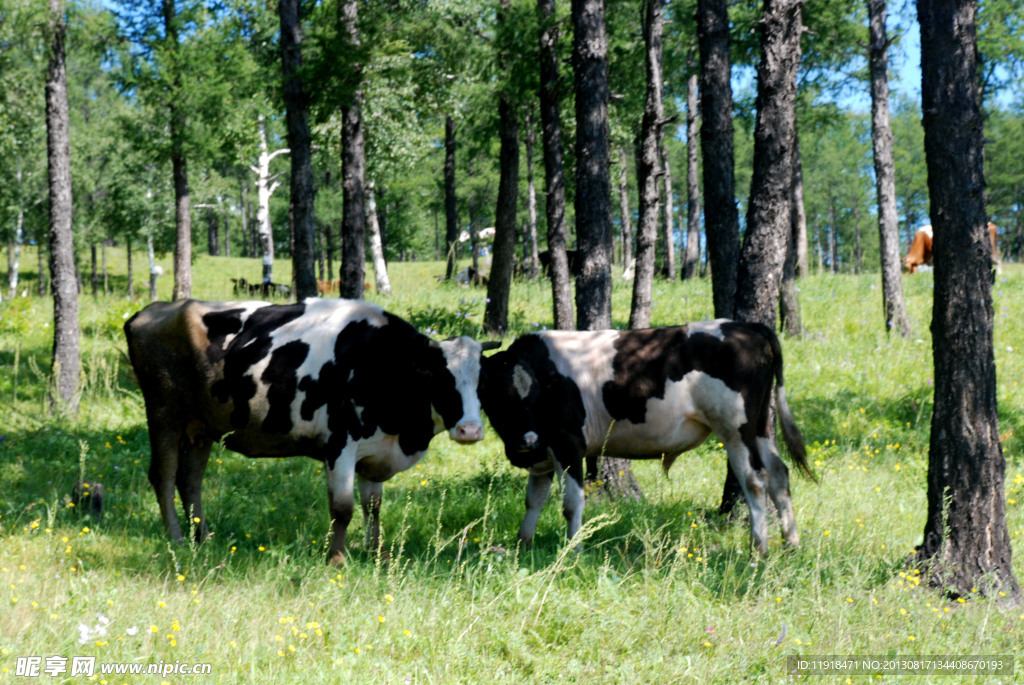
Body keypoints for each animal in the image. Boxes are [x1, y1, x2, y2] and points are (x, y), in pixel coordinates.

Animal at [123, 296, 491, 561]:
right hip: (164, 414)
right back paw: (177, 538)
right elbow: (343, 509)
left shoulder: (374, 452)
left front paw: (378, 555)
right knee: (164, 476)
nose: (470, 431)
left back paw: (203, 537)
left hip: (201, 427)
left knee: (190, 481)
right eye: (439, 377)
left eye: (481, 381)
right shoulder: (340, 446)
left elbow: (373, 507)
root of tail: (155, 309)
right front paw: (337, 560)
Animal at [479, 321, 815, 557]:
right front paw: (523, 544)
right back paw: (791, 543)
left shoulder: (568, 443)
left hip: (736, 430)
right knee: (779, 474)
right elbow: (533, 500)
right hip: (760, 427)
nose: (526, 441)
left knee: (755, 481)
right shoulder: (544, 452)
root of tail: (746, 326)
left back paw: (758, 549)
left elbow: (571, 503)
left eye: (534, 394)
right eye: (498, 395)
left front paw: (573, 548)